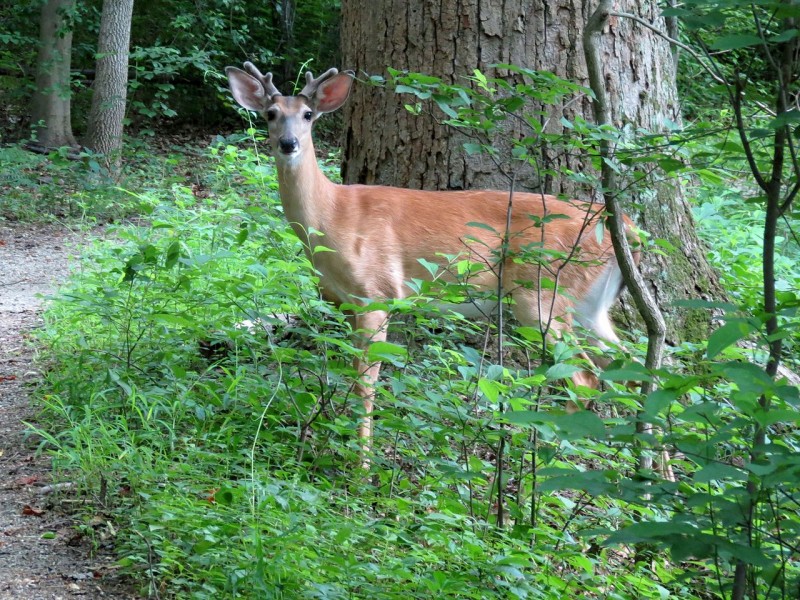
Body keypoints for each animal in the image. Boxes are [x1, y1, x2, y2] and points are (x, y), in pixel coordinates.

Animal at [225, 63, 636, 462]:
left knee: (585, 378)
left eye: (308, 114)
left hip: (541, 292)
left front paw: (361, 466)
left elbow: (366, 382)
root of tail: (622, 227)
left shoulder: (377, 292)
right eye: (270, 114)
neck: (333, 216)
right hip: (588, 307)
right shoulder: (343, 301)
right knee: (632, 364)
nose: (288, 143)